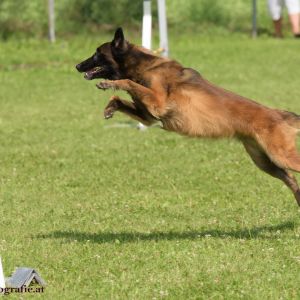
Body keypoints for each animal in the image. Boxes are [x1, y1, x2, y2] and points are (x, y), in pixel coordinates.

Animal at [75, 27, 300, 206]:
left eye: (97, 54)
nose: (77, 66)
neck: (145, 65)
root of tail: (281, 115)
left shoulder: (158, 104)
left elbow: (127, 82)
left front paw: (110, 84)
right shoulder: (149, 116)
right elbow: (119, 99)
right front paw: (110, 107)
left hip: (280, 155)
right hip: (265, 162)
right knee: (292, 180)